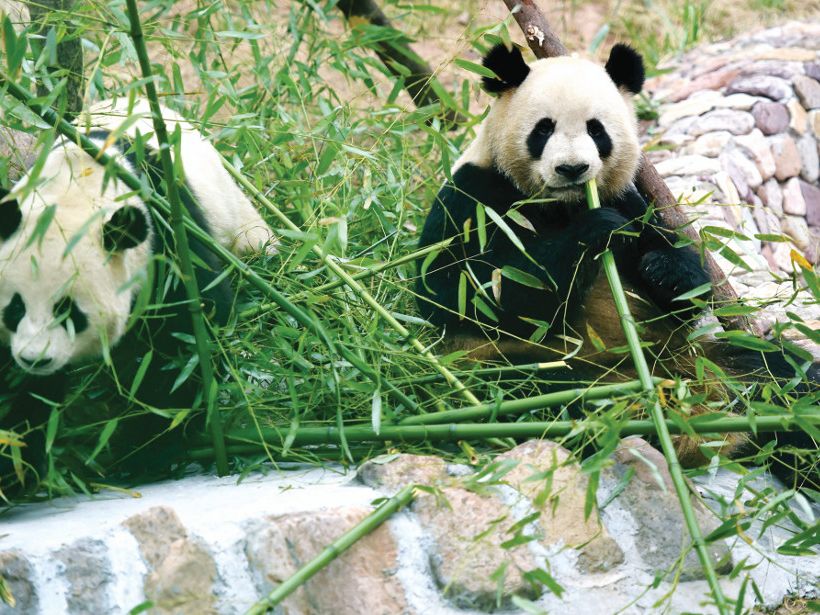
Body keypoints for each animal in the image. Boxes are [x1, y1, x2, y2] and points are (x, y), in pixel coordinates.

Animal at [0, 98, 275, 493]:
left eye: (69, 312)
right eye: (14, 309)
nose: (35, 360)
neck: (79, 183)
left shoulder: (168, 237)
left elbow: (186, 340)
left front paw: (141, 448)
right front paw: (16, 460)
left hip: (243, 226)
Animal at [415, 43, 817, 487]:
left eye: (596, 130)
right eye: (543, 129)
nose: (572, 169)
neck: (563, 203)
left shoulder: (632, 201)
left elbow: (682, 287)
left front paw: (664, 270)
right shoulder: (474, 199)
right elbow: (461, 291)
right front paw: (596, 232)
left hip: (706, 359)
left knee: (784, 378)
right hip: (523, 371)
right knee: (538, 394)